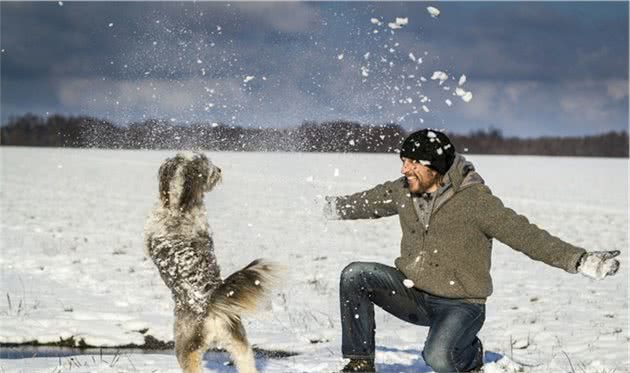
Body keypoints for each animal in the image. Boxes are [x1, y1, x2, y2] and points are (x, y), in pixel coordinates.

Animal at [147, 151, 280, 372]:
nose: (219, 169)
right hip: (239, 344)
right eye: (207, 166)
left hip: (185, 349)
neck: (179, 206)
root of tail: (212, 307)